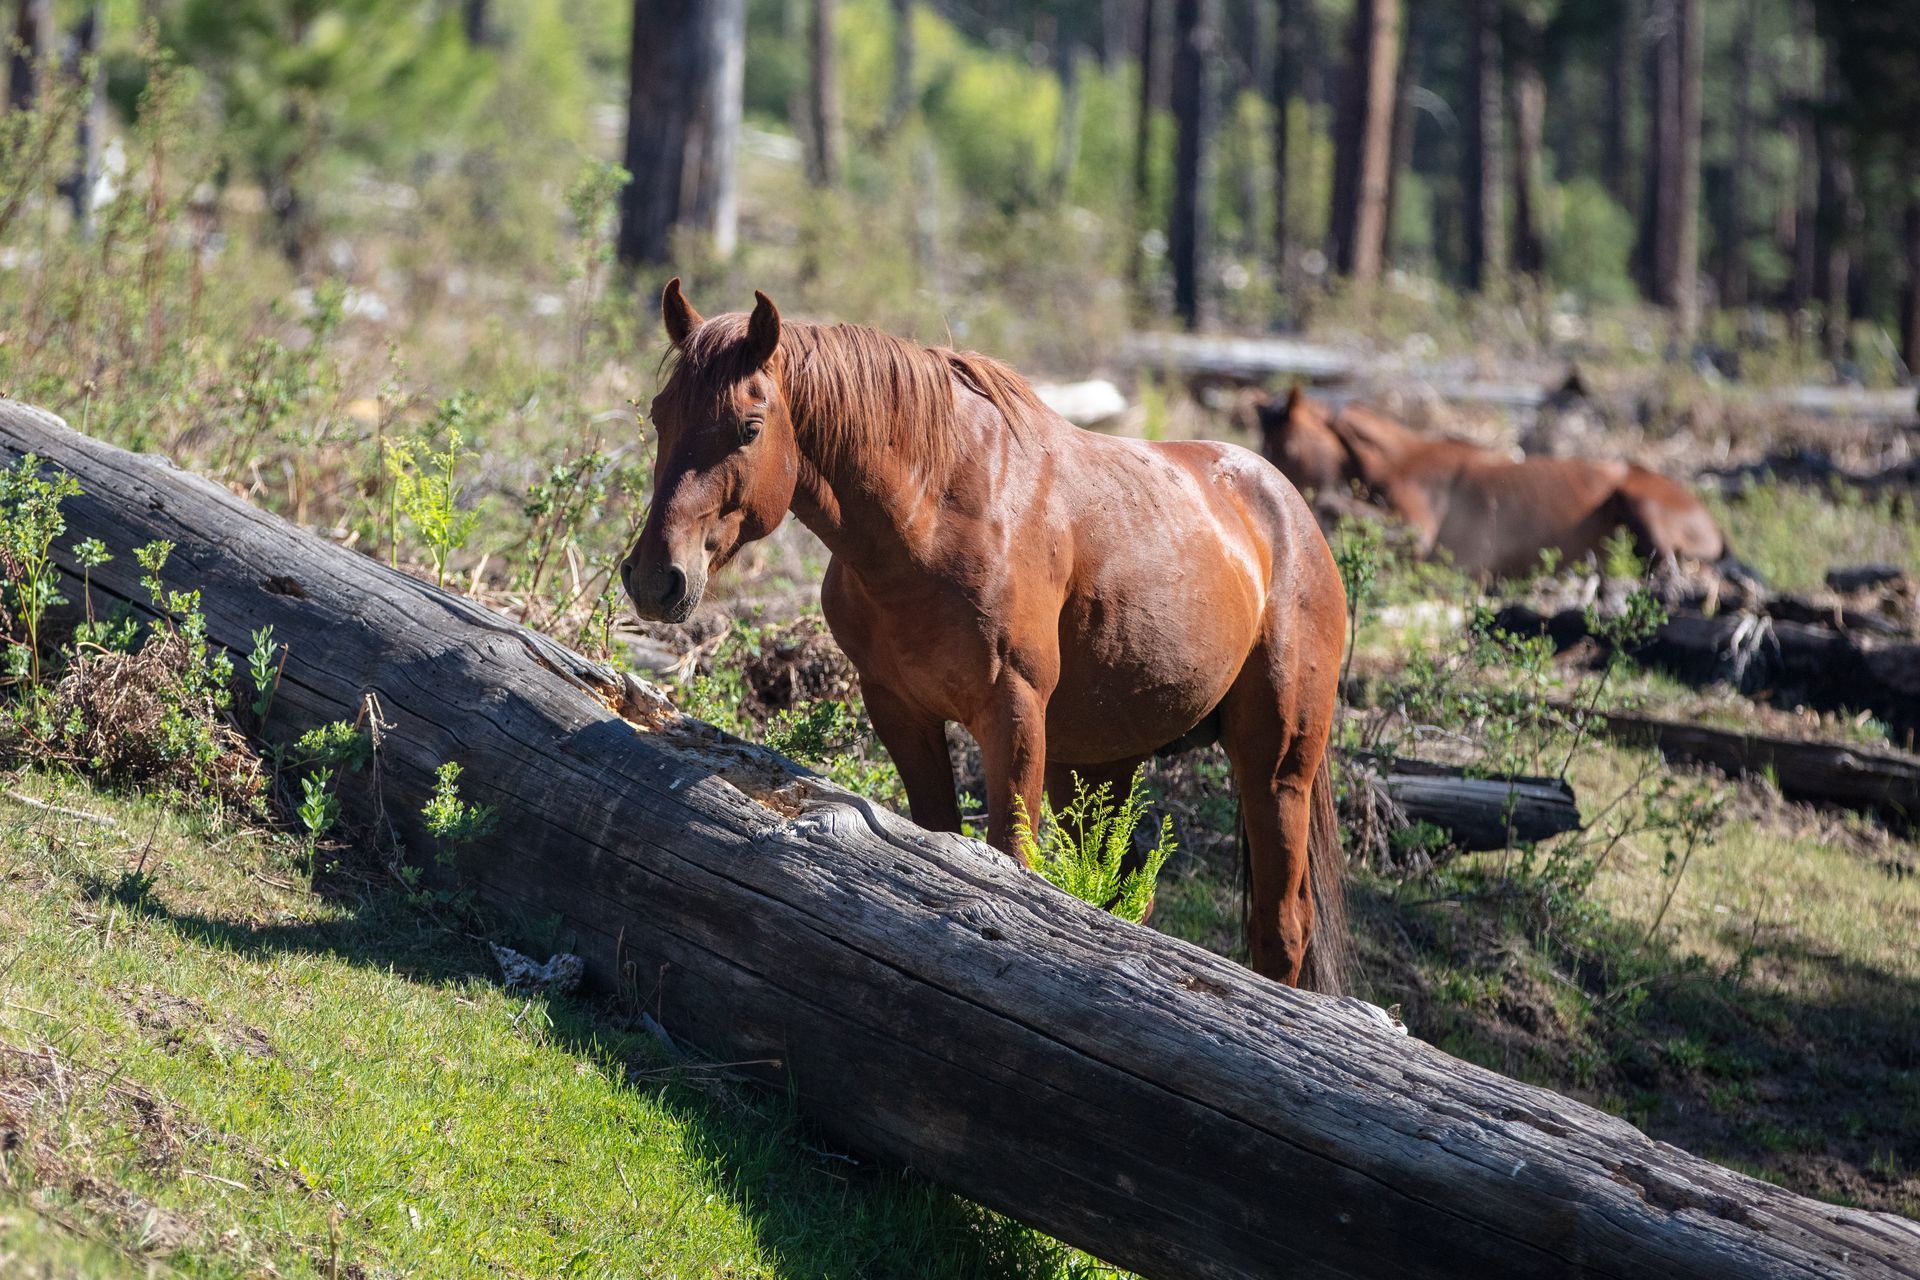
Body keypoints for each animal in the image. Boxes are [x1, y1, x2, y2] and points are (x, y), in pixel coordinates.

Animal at [621, 282, 1352, 991]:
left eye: (748, 427)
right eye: (660, 414)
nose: (655, 577)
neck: (932, 518)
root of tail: (1290, 510)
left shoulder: (1013, 715)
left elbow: (1010, 862)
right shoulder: (901, 712)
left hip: (1275, 765)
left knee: (1282, 927)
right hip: (1098, 766)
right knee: (1128, 899)